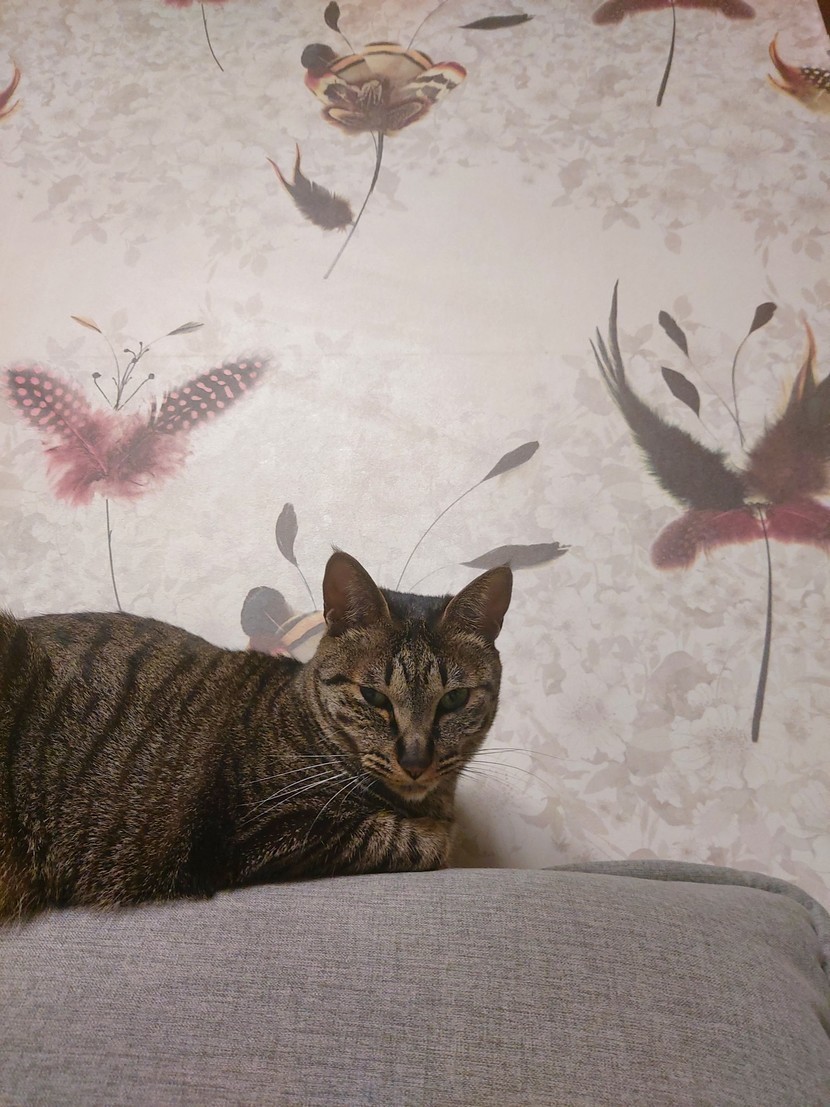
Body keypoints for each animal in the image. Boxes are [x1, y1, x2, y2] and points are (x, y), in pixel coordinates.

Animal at [0, 551, 512, 918]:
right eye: (373, 696)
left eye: (453, 700)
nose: (415, 760)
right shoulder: (262, 834)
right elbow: (414, 839)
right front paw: (436, 832)